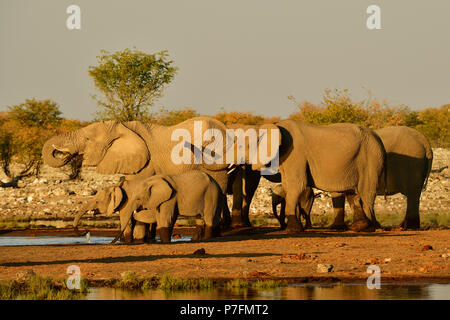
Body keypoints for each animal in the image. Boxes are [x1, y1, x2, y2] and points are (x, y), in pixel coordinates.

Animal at [248, 120, 384, 232]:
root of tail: (378, 137)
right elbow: (287, 186)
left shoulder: (295, 154)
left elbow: (296, 185)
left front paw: (293, 230)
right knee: (352, 193)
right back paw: (358, 227)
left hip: (371, 160)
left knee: (366, 193)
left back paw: (368, 229)